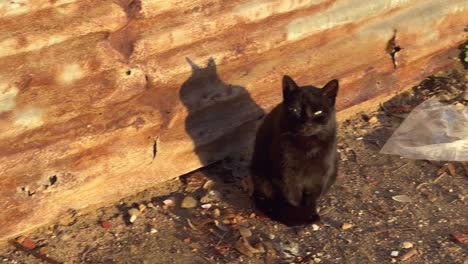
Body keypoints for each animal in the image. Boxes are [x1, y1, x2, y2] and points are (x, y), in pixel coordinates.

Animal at [250, 75, 338, 226]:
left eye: (318, 112)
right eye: (295, 110)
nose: (306, 123)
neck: (308, 146)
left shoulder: (319, 174)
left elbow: (311, 197)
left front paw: (310, 213)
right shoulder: (285, 172)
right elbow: (292, 197)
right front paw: (299, 216)